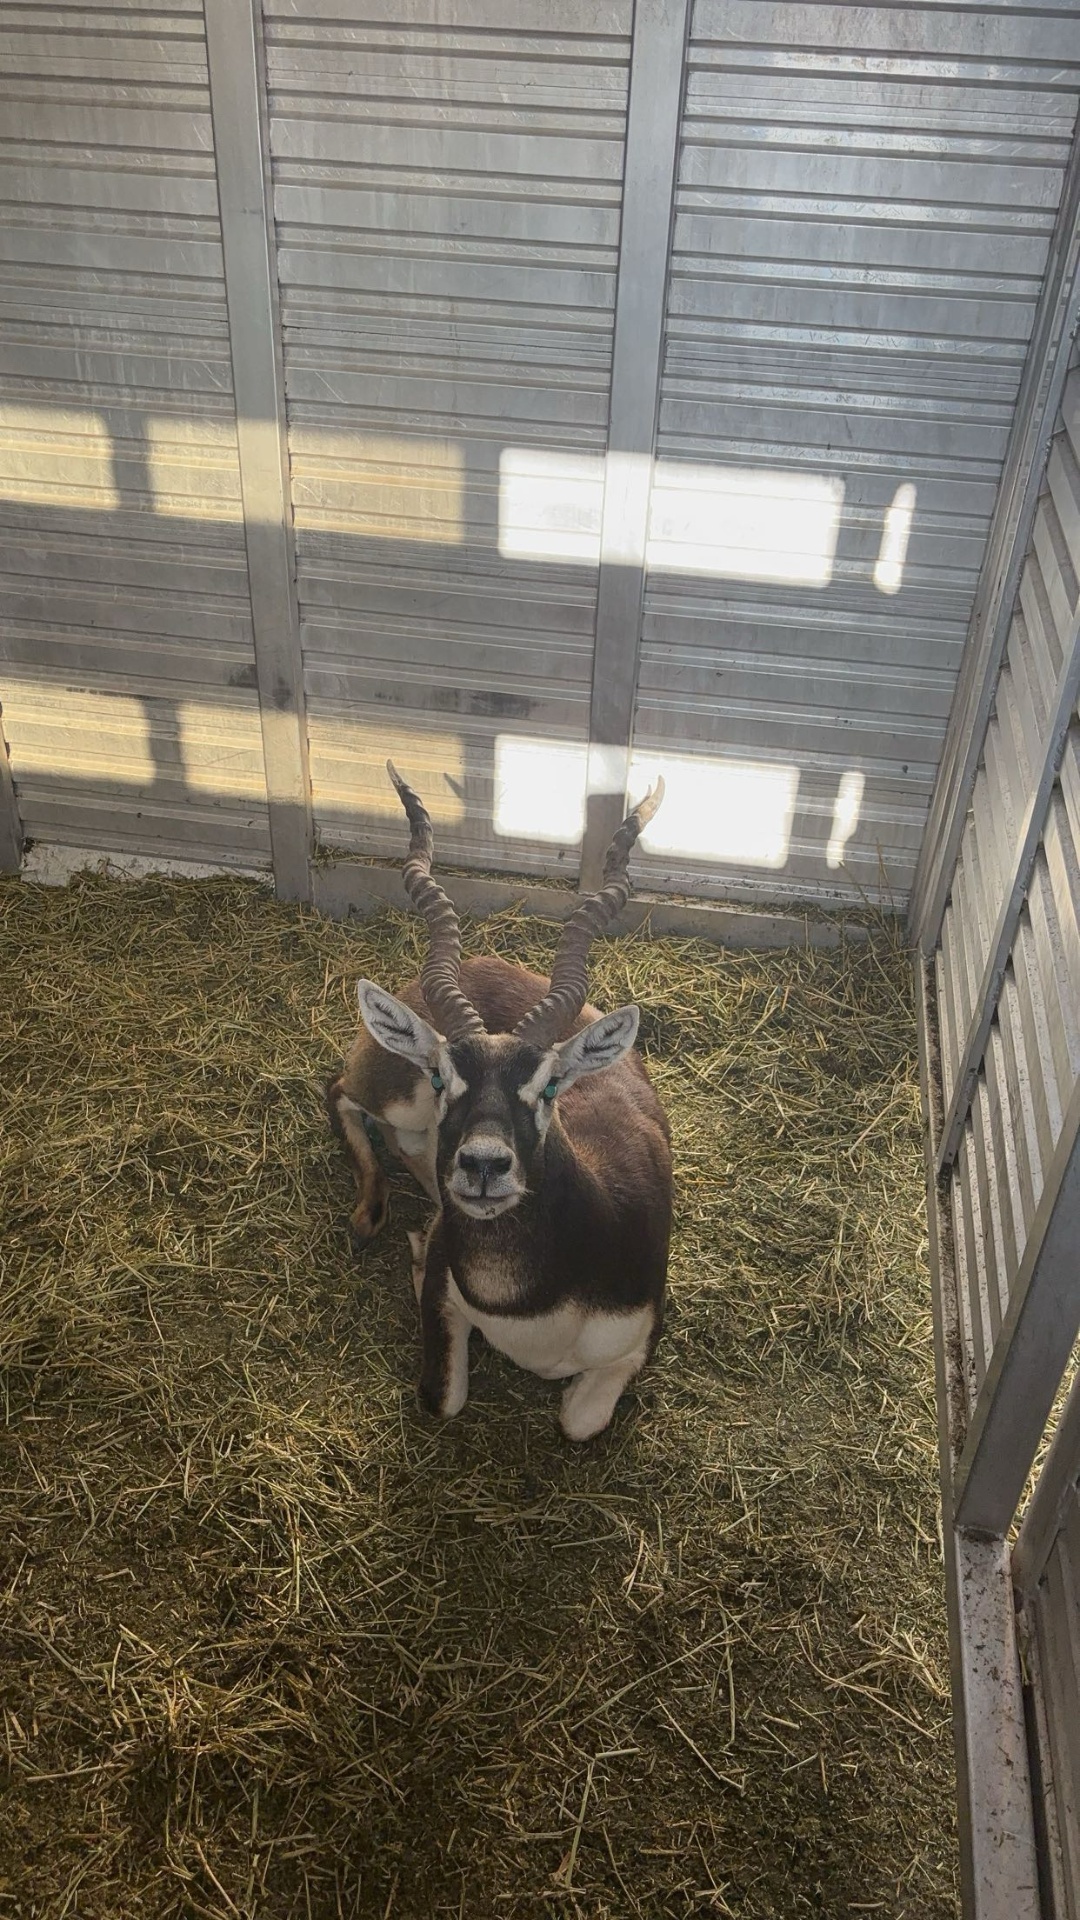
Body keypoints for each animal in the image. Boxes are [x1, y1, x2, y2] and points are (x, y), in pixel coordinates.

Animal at [327, 763, 672, 1441]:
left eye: (550, 1086)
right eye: (443, 1077)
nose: (481, 1166)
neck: (532, 1309)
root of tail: (485, 959)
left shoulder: (636, 1344)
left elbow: (579, 1421)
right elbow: (444, 1398)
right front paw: (418, 1254)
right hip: (394, 1096)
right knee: (341, 1094)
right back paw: (370, 1215)